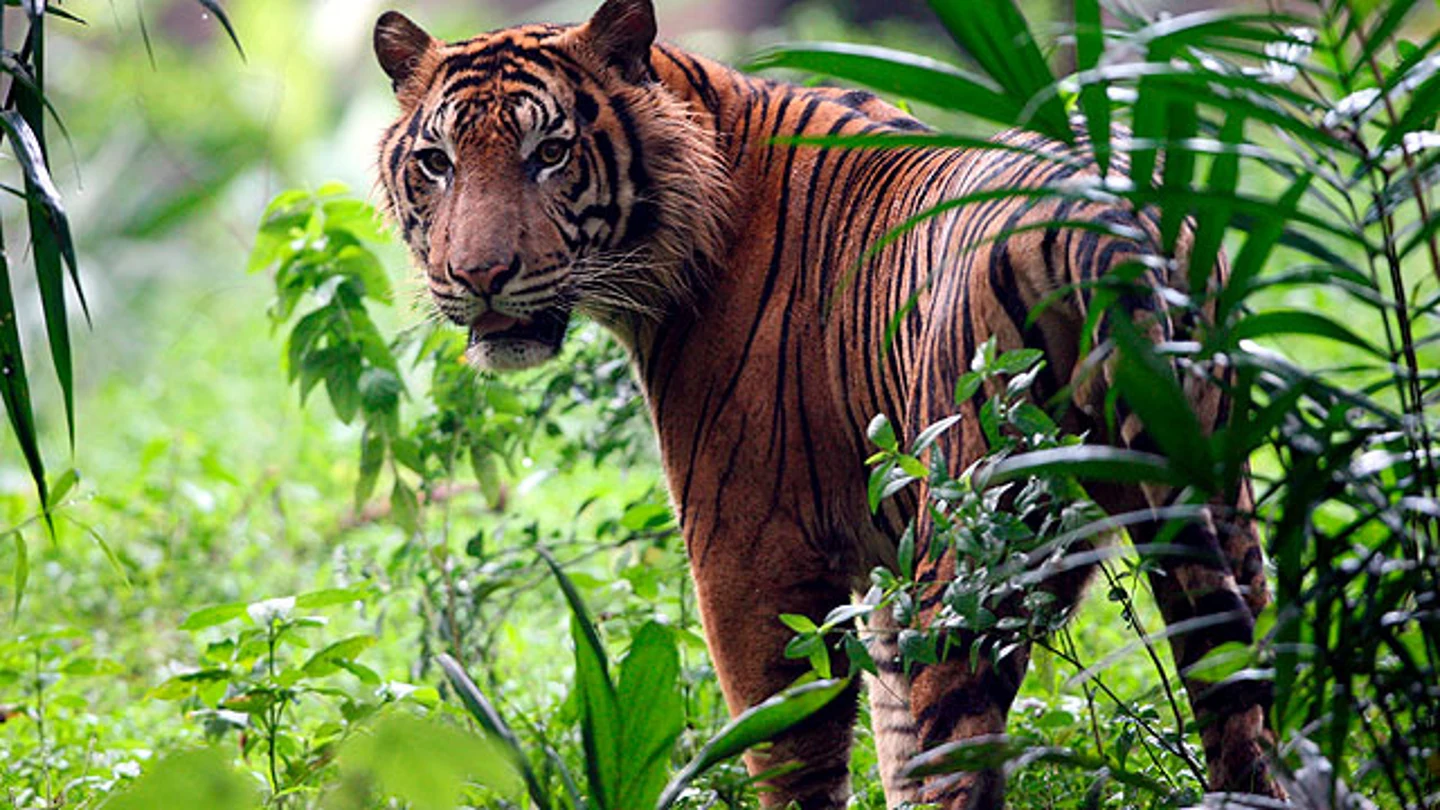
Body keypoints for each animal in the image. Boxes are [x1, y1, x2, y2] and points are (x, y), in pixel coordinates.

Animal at [373, 1, 1286, 807]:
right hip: (1217, 510)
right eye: (437, 163)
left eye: (552, 152)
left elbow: (793, 755)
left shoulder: (750, 550)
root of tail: (1102, 223)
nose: (478, 276)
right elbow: (895, 748)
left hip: (973, 547)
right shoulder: (877, 575)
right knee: (1246, 720)